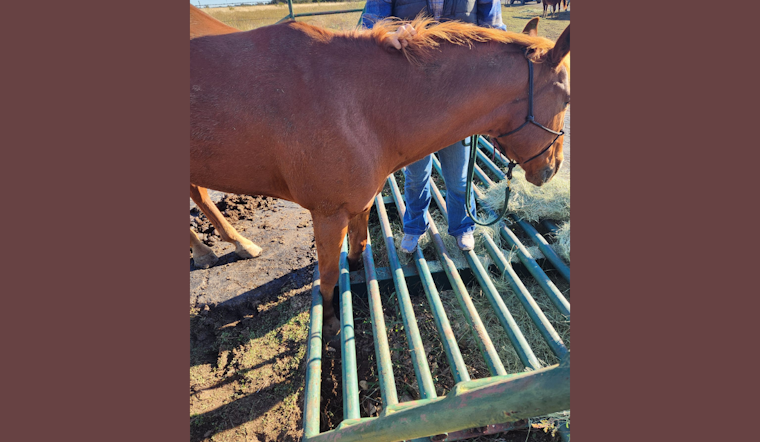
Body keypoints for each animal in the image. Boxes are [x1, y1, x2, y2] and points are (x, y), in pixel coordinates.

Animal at [190, 15, 570, 336]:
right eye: (566, 99)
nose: (552, 168)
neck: (357, 104)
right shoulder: (328, 215)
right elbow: (328, 276)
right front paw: (332, 322)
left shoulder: (358, 204)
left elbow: (357, 246)